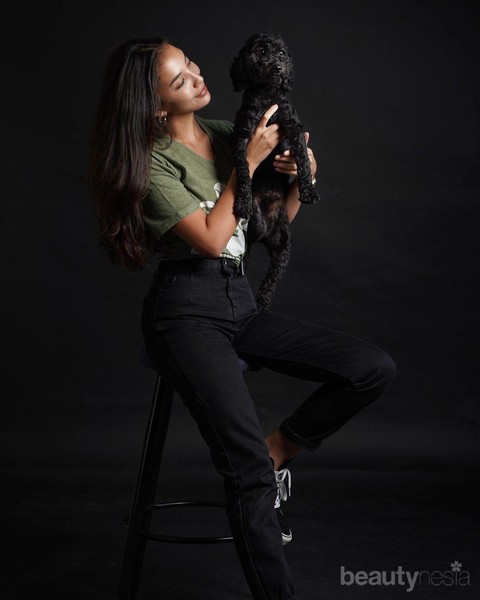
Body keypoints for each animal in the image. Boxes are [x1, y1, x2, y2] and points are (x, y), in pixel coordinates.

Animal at [229, 31, 320, 312]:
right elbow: (244, 170)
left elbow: (302, 159)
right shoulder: (243, 138)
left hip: (282, 247)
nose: (279, 68)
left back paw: (262, 301)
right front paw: (243, 201)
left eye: (281, 53)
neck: (267, 95)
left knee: (272, 277)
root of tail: (266, 232)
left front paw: (308, 190)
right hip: (252, 237)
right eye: (261, 52)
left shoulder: (292, 128)